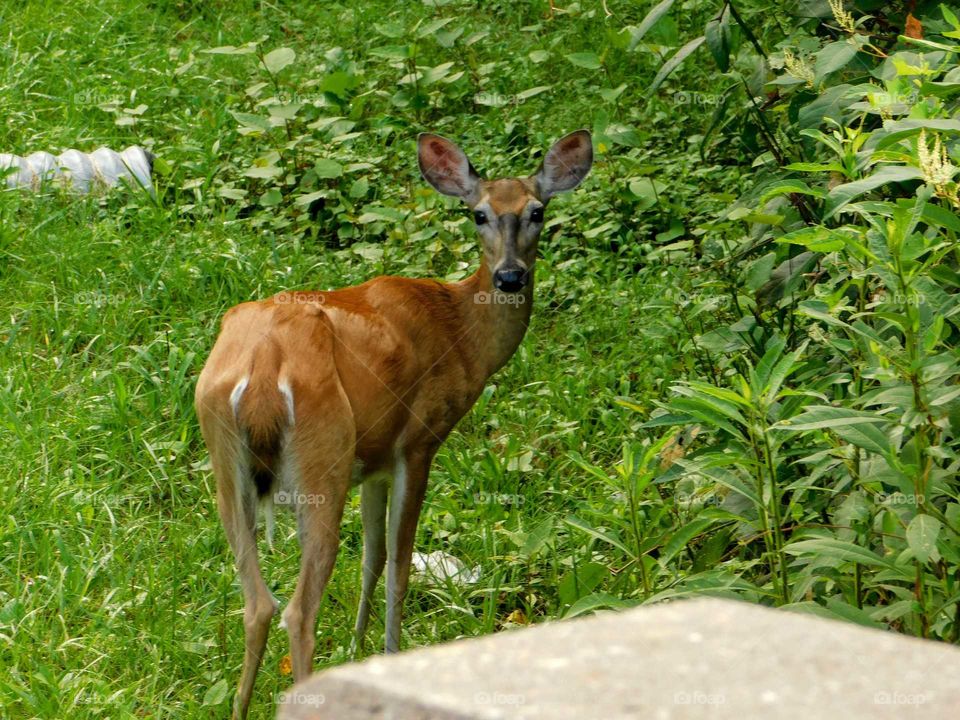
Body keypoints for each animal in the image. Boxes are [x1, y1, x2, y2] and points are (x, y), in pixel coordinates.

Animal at [193, 129, 593, 718]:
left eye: (537, 211)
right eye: (478, 214)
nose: (510, 276)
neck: (462, 331)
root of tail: (264, 367)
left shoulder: (374, 462)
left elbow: (373, 558)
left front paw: (359, 654)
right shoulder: (418, 441)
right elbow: (399, 568)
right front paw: (389, 656)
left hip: (229, 463)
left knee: (257, 604)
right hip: (323, 459)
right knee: (297, 611)